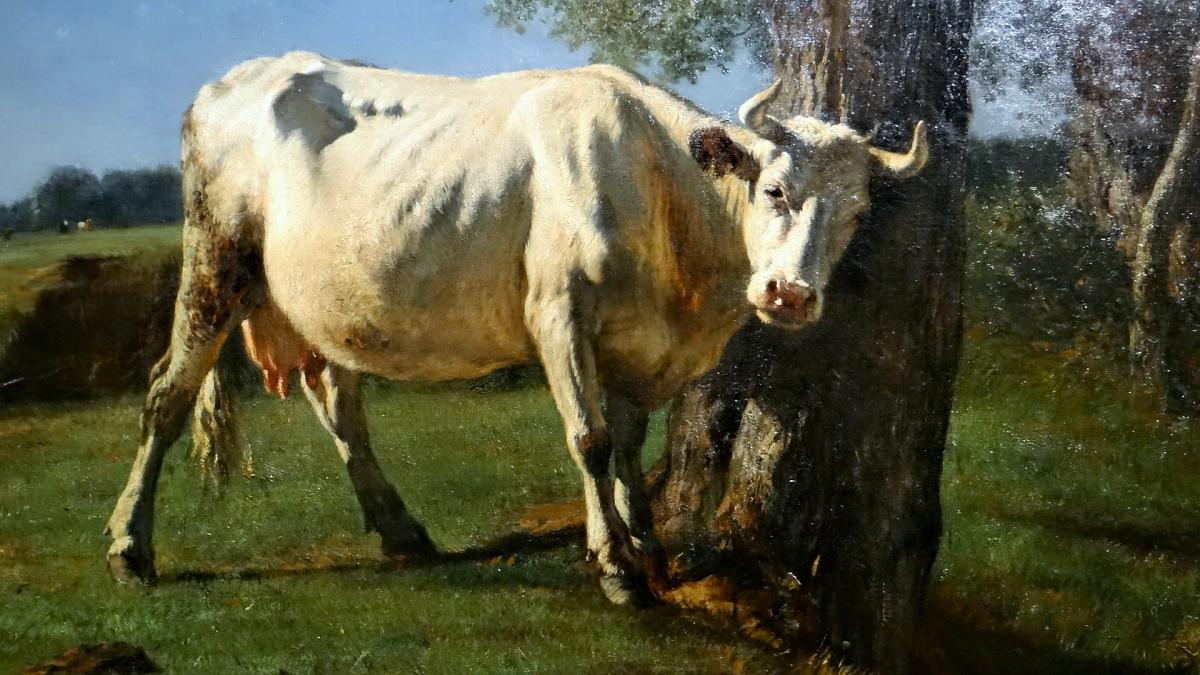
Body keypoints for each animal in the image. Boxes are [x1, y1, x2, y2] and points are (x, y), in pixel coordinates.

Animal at [105, 52, 928, 605]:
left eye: (857, 213)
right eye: (774, 189)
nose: (789, 294)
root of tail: (237, 77)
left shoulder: (643, 347)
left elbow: (629, 444)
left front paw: (650, 547)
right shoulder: (558, 312)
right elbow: (591, 440)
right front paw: (617, 569)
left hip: (324, 300)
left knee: (337, 402)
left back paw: (401, 530)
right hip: (215, 258)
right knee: (167, 394)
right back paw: (129, 547)